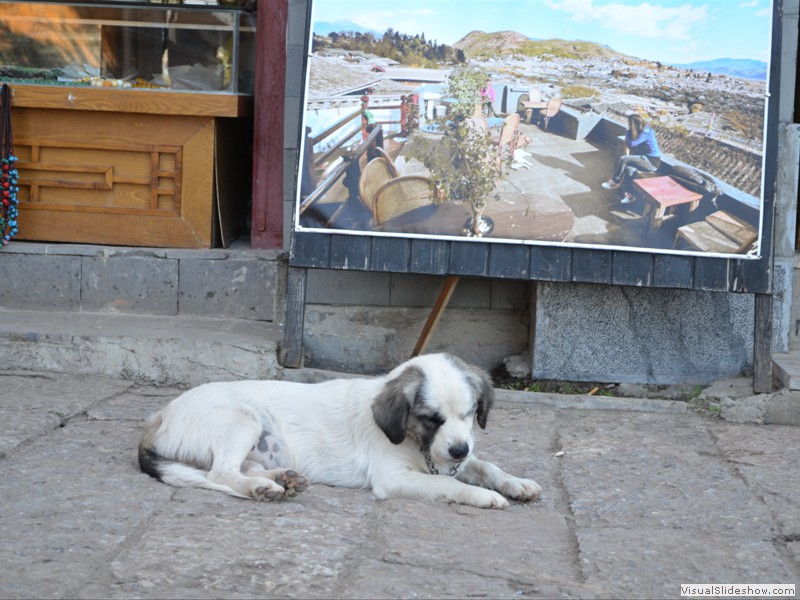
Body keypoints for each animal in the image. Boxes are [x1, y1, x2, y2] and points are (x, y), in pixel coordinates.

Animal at [138, 354, 540, 508]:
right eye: (431, 418)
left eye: (470, 413)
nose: (459, 451)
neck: (415, 442)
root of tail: (159, 416)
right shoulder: (393, 478)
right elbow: (449, 485)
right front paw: (483, 496)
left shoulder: (458, 456)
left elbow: (486, 466)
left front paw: (516, 483)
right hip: (242, 420)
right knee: (220, 473)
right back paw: (261, 489)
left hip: (262, 442)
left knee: (241, 468)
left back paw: (282, 480)